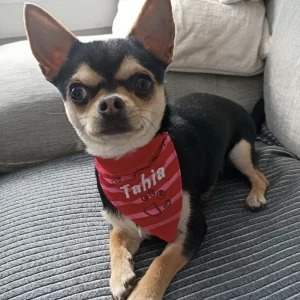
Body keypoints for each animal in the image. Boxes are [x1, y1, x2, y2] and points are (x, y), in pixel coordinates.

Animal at [24, 1, 270, 298]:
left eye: (142, 83)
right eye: (76, 92)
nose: (110, 103)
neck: (131, 164)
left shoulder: (193, 230)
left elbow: (161, 262)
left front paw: (142, 292)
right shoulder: (123, 224)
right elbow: (114, 237)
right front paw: (120, 275)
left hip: (240, 151)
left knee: (260, 175)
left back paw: (255, 195)